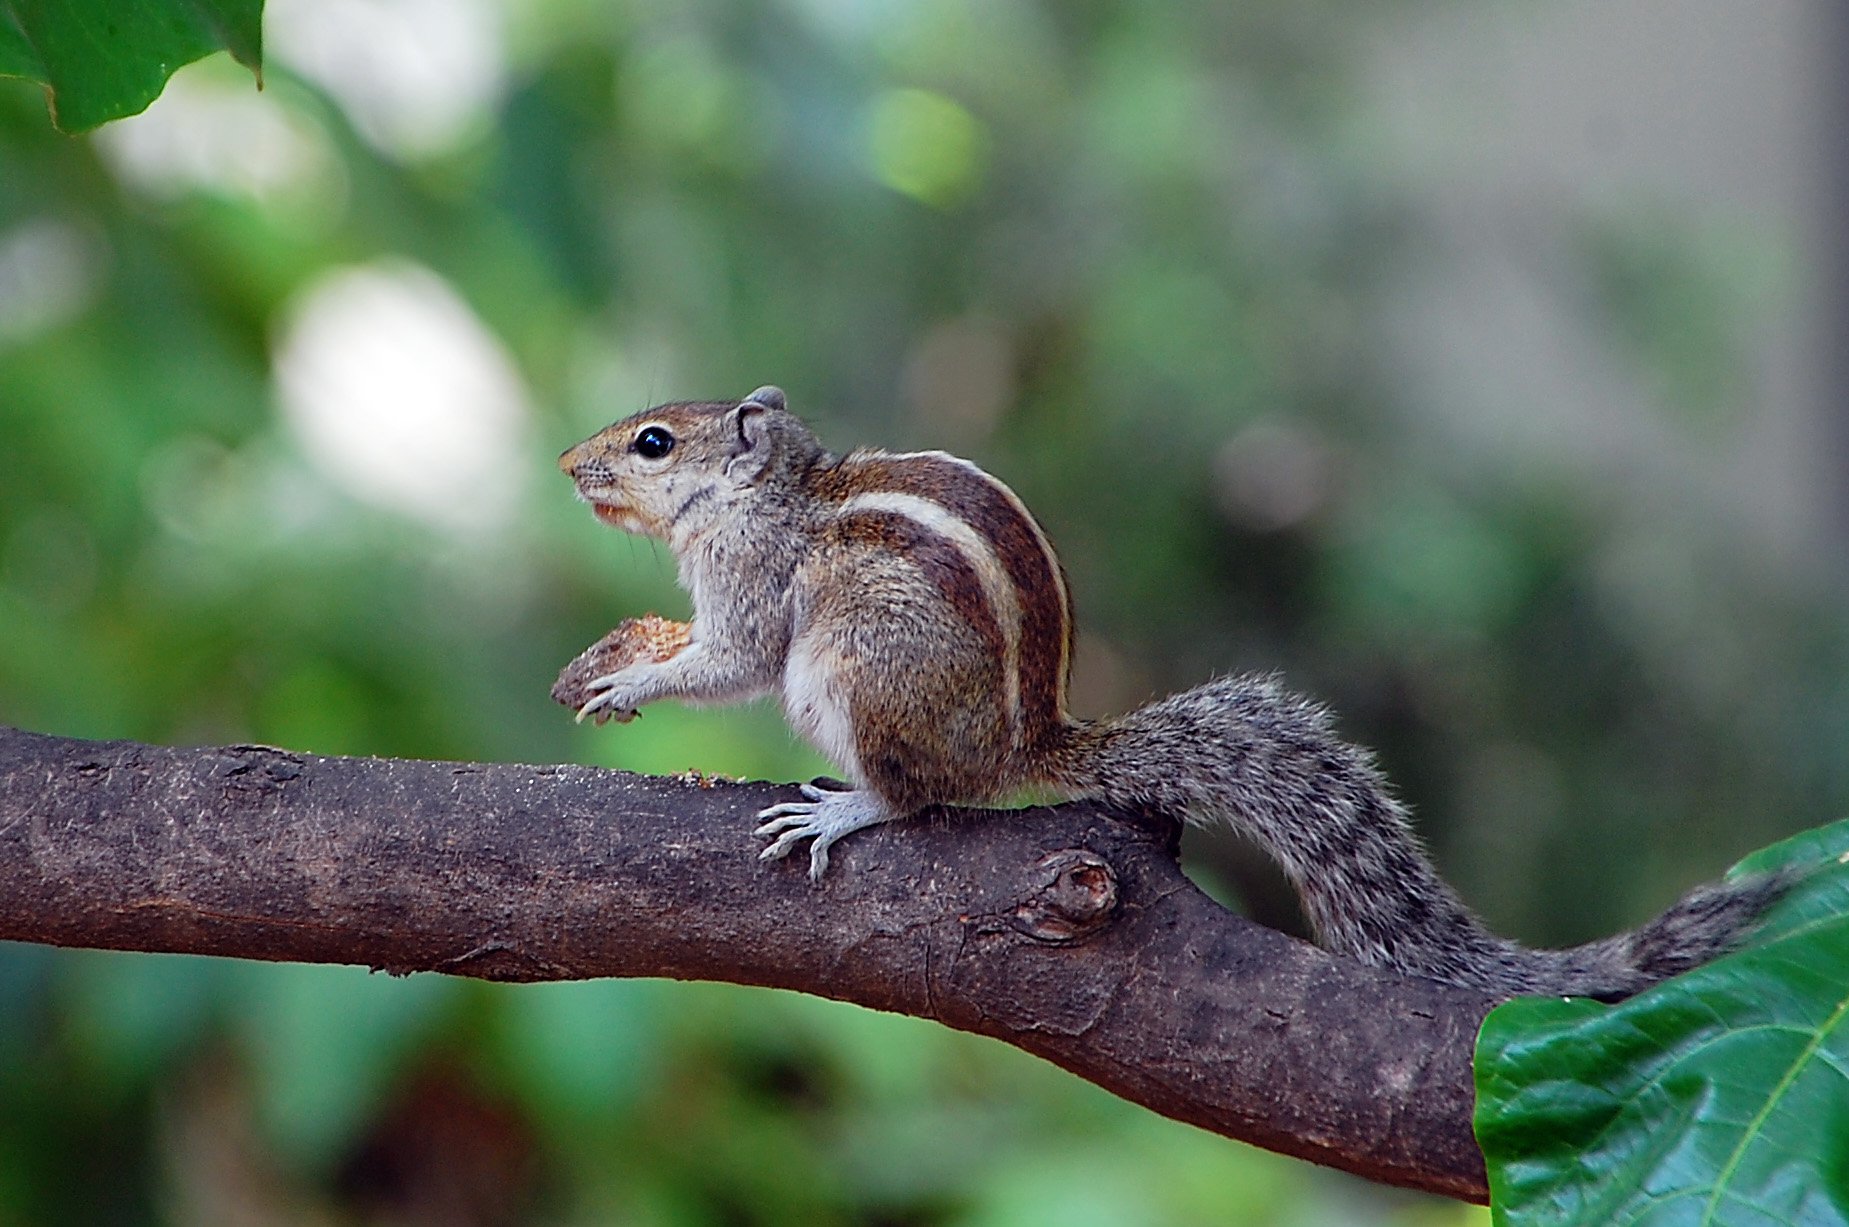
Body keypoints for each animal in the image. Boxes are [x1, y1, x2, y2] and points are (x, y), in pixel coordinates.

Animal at [554, 388, 1782, 1005]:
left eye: (652, 443)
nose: (567, 466)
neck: (774, 493)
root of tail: (1023, 746)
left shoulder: (754, 582)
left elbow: (734, 658)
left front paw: (632, 675)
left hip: (855, 676)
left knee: (920, 798)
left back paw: (846, 807)